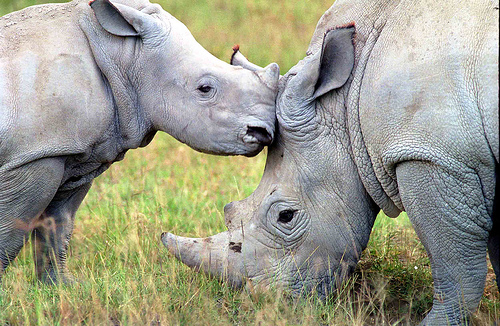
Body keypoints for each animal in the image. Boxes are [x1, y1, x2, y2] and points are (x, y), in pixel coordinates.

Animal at [0, 0, 280, 282]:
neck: (123, 52)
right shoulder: (34, 154)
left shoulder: (74, 151)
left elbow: (58, 225)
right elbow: (12, 229)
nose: (263, 132)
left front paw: (60, 286)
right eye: (204, 89)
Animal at [162, 0, 498, 324]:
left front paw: (436, 322)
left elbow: (455, 266)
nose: (268, 306)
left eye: (286, 216)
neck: (344, 103)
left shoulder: (433, 155)